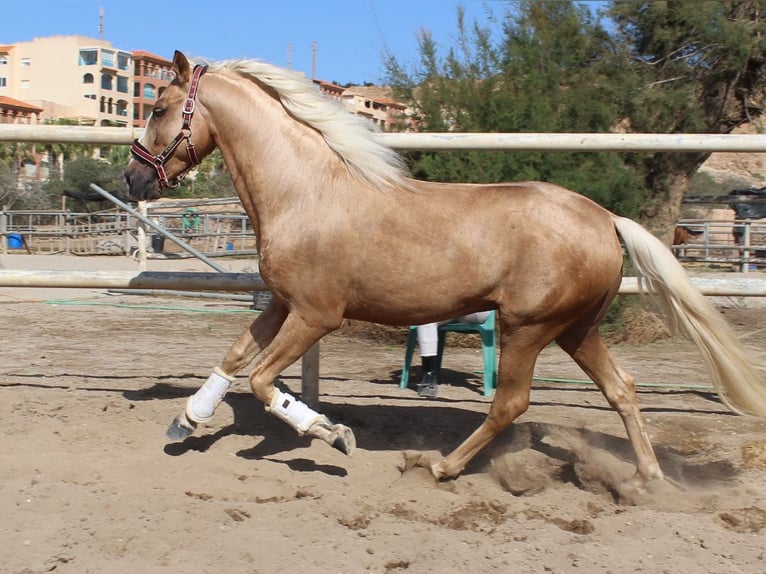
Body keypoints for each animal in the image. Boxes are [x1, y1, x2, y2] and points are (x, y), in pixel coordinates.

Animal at [126, 51, 766, 488]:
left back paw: (438, 466)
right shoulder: (284, 303)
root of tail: (607, 218)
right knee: (622, 389)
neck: (305, 192)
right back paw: (645, 480)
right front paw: (185, 421)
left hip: (528, 327)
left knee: (511, 404)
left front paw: (334, 435)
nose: (132, 179)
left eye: (157, 108)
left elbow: (261, 381)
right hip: (577, 329)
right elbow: (235, 358)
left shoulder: (316, 315)